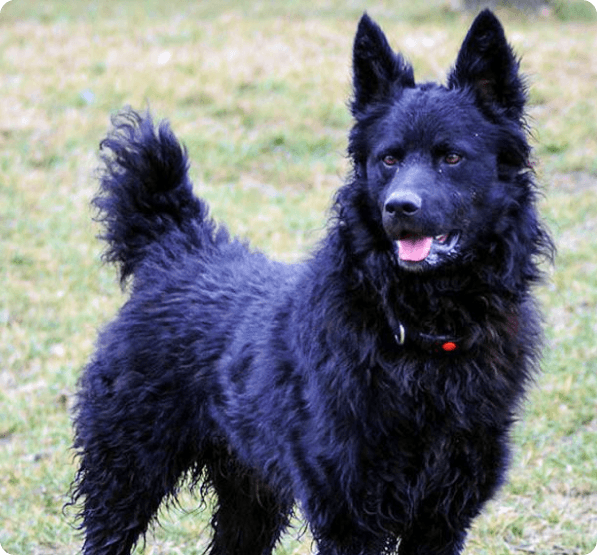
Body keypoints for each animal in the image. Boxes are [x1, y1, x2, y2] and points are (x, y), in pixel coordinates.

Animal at [71, 9, 556, 555]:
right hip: (126, 474)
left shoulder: (443, 517)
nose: (400, 208)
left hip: (249, 493)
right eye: (389, 158)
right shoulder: (347, 512)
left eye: (452, 157)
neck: (420, 332)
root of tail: (178, 244)